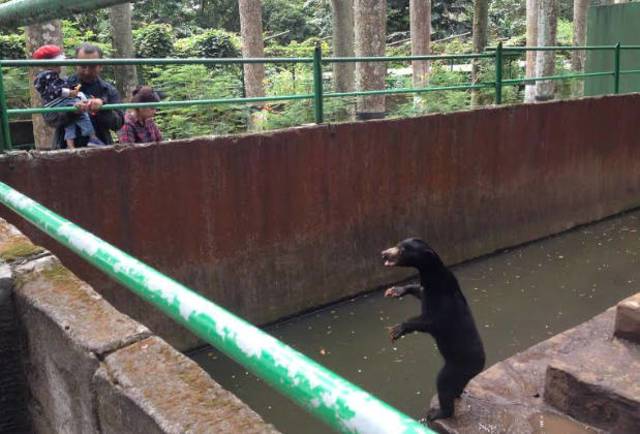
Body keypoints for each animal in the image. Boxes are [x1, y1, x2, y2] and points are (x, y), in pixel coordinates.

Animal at [382, 237, 482, 420]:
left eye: (403, 249)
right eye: (398, 244)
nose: (384, 253)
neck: (434, 279)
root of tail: (481, 364)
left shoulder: (443, 304)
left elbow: (430, 323)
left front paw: (397, 329)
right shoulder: (427, 291)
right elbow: (418, 291)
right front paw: (395, 290)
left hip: (457, 366)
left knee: (443, 385)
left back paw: (436, 413)